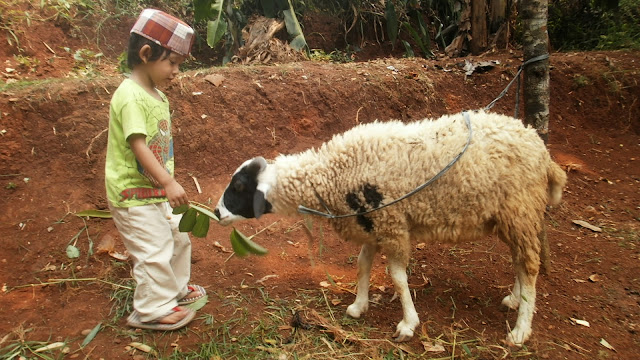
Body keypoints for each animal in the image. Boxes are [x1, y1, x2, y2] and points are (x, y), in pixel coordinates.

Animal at [216, 110, 568, 346]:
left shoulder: (392, 224)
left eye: (239, 187)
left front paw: (408, 323)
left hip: (520, 209)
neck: (331, 174)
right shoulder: (371, 223)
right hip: (513, 216)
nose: (217, 213)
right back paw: (515, 299)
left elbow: (397, 277)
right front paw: (358, 306)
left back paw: (520, 329)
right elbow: (362, 266)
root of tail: (542, 151)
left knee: (530, 265)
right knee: (521, 261)